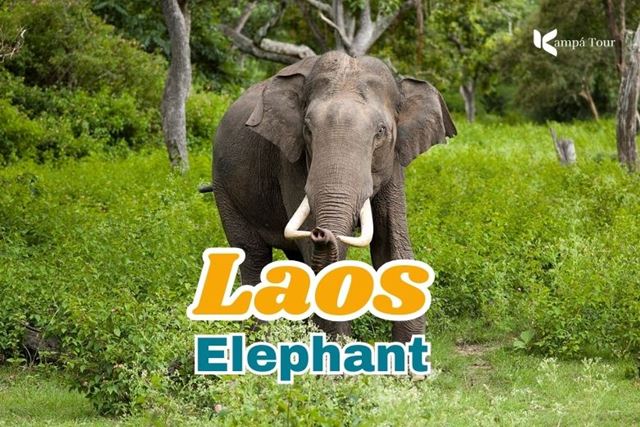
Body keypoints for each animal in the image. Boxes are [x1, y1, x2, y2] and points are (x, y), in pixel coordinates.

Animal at [210, 51, 456, 342]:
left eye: (381, 132)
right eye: (307, 130)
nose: (320, 232)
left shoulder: (394, 162)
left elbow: (390, 243)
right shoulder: (290, 161)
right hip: (224, 187)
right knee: (253, 254)